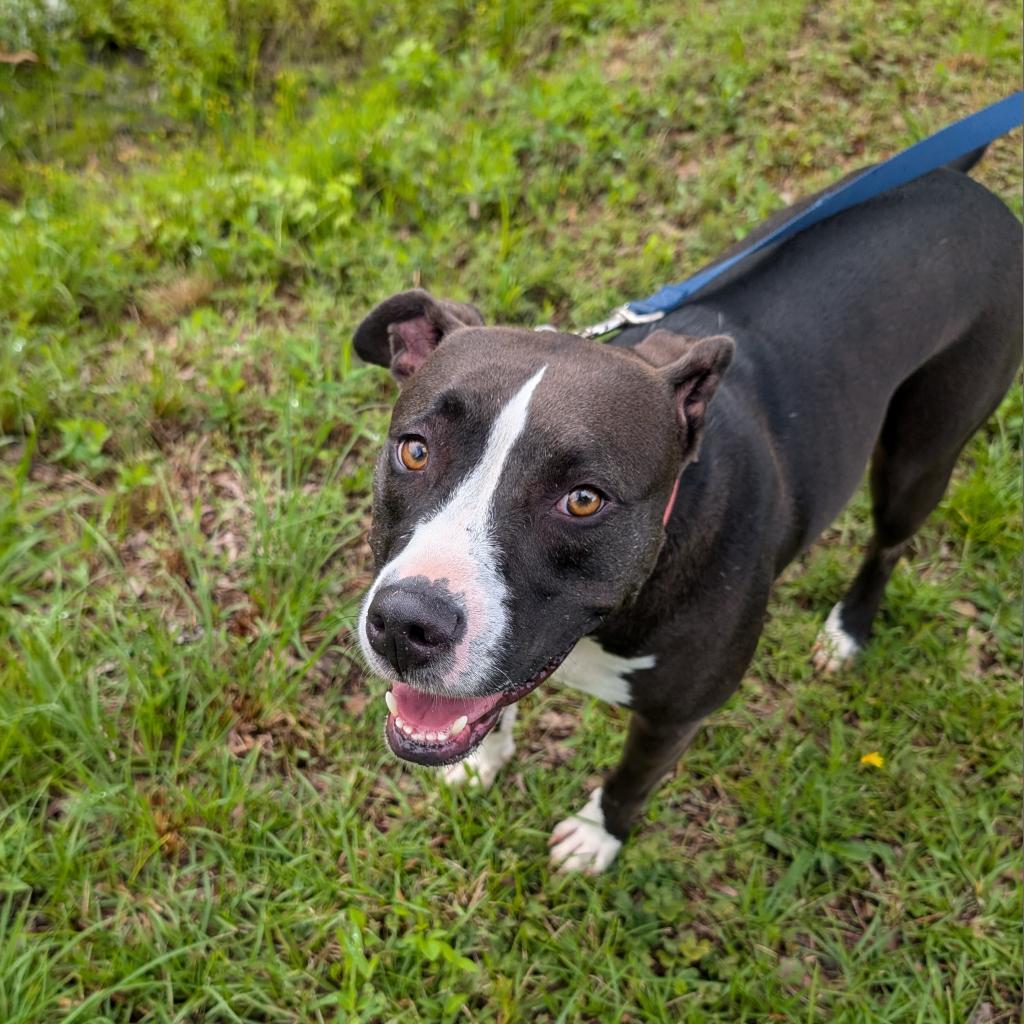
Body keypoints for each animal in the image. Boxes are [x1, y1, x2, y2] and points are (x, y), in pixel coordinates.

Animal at [350, 151, 1015, 872]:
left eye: (583, 499)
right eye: (415, 450)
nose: (405, 625)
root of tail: (967, 186)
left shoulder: (675, 718)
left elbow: (633, 778)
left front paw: (597, 835)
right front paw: (484, 761)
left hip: (919, 458)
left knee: (888, 543)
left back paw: (848, 630)